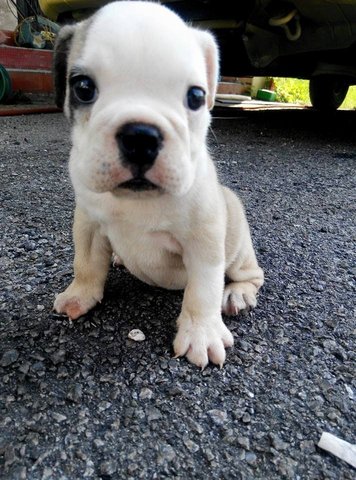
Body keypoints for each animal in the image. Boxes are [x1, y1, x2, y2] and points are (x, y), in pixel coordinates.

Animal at [53, 0, 264, 368]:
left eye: (196, 96)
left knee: (250, 275)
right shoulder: (89, 223)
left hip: (237, 245)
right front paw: (79, 296)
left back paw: (237, 294)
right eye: (83, 88)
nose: (141, 136)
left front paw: (201, 334)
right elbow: (86, 264)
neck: (137, 201)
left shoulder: (204, 242)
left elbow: (203, 290)